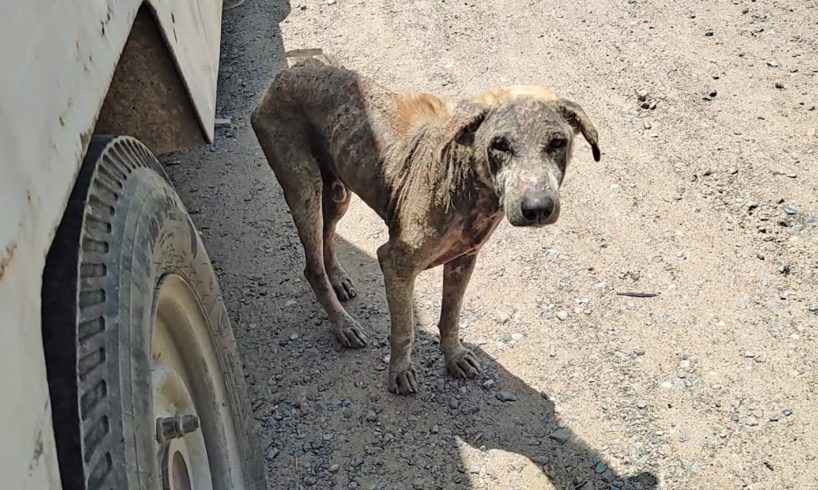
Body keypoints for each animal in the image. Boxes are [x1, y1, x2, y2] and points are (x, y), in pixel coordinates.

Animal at [252, 49, 604, 394]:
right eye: (499, 145)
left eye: (557, 143)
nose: (537, 208)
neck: (465, 181)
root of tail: (287, 73)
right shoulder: (396, 263)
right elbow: (404, 327)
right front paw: (399, 372)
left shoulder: (463, 260)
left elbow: (450, 317)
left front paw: (454, 356)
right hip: (304, 190)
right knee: (311, 266)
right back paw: (343, 325)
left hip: (338, 192)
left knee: (327, 235)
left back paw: (337, 278)